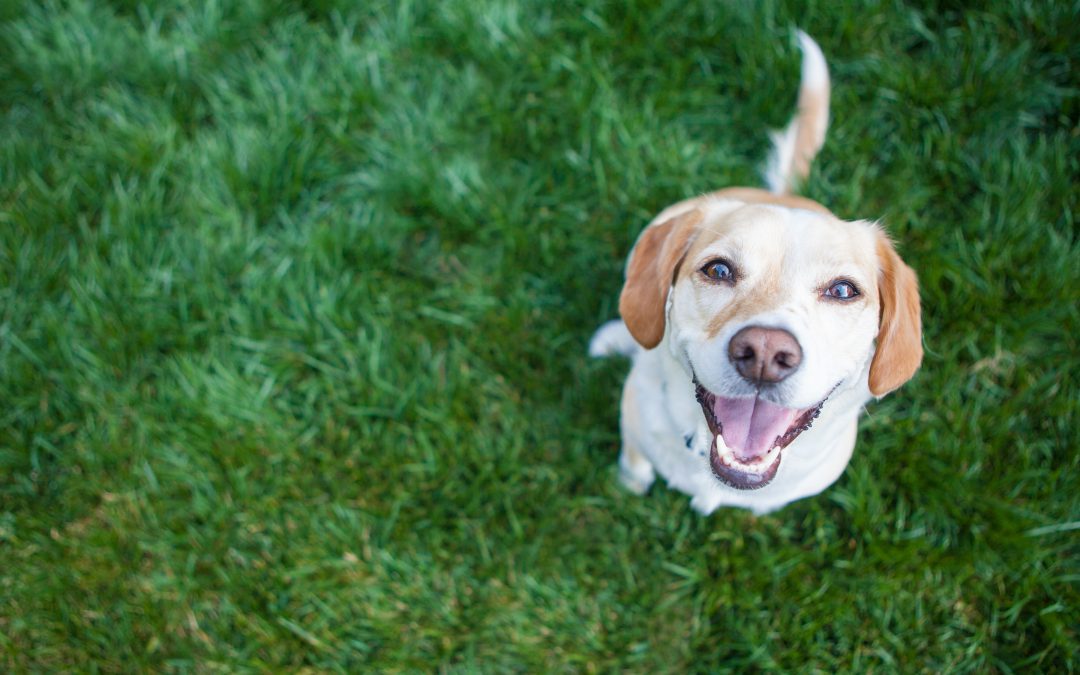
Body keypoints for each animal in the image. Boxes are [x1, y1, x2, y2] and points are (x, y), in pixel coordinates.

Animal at [591, 31, 920, 514]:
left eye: (843, 290)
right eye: (718, 269)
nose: (765, 353)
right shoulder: (634, 431)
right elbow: (634, 466)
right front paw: (628, 485)